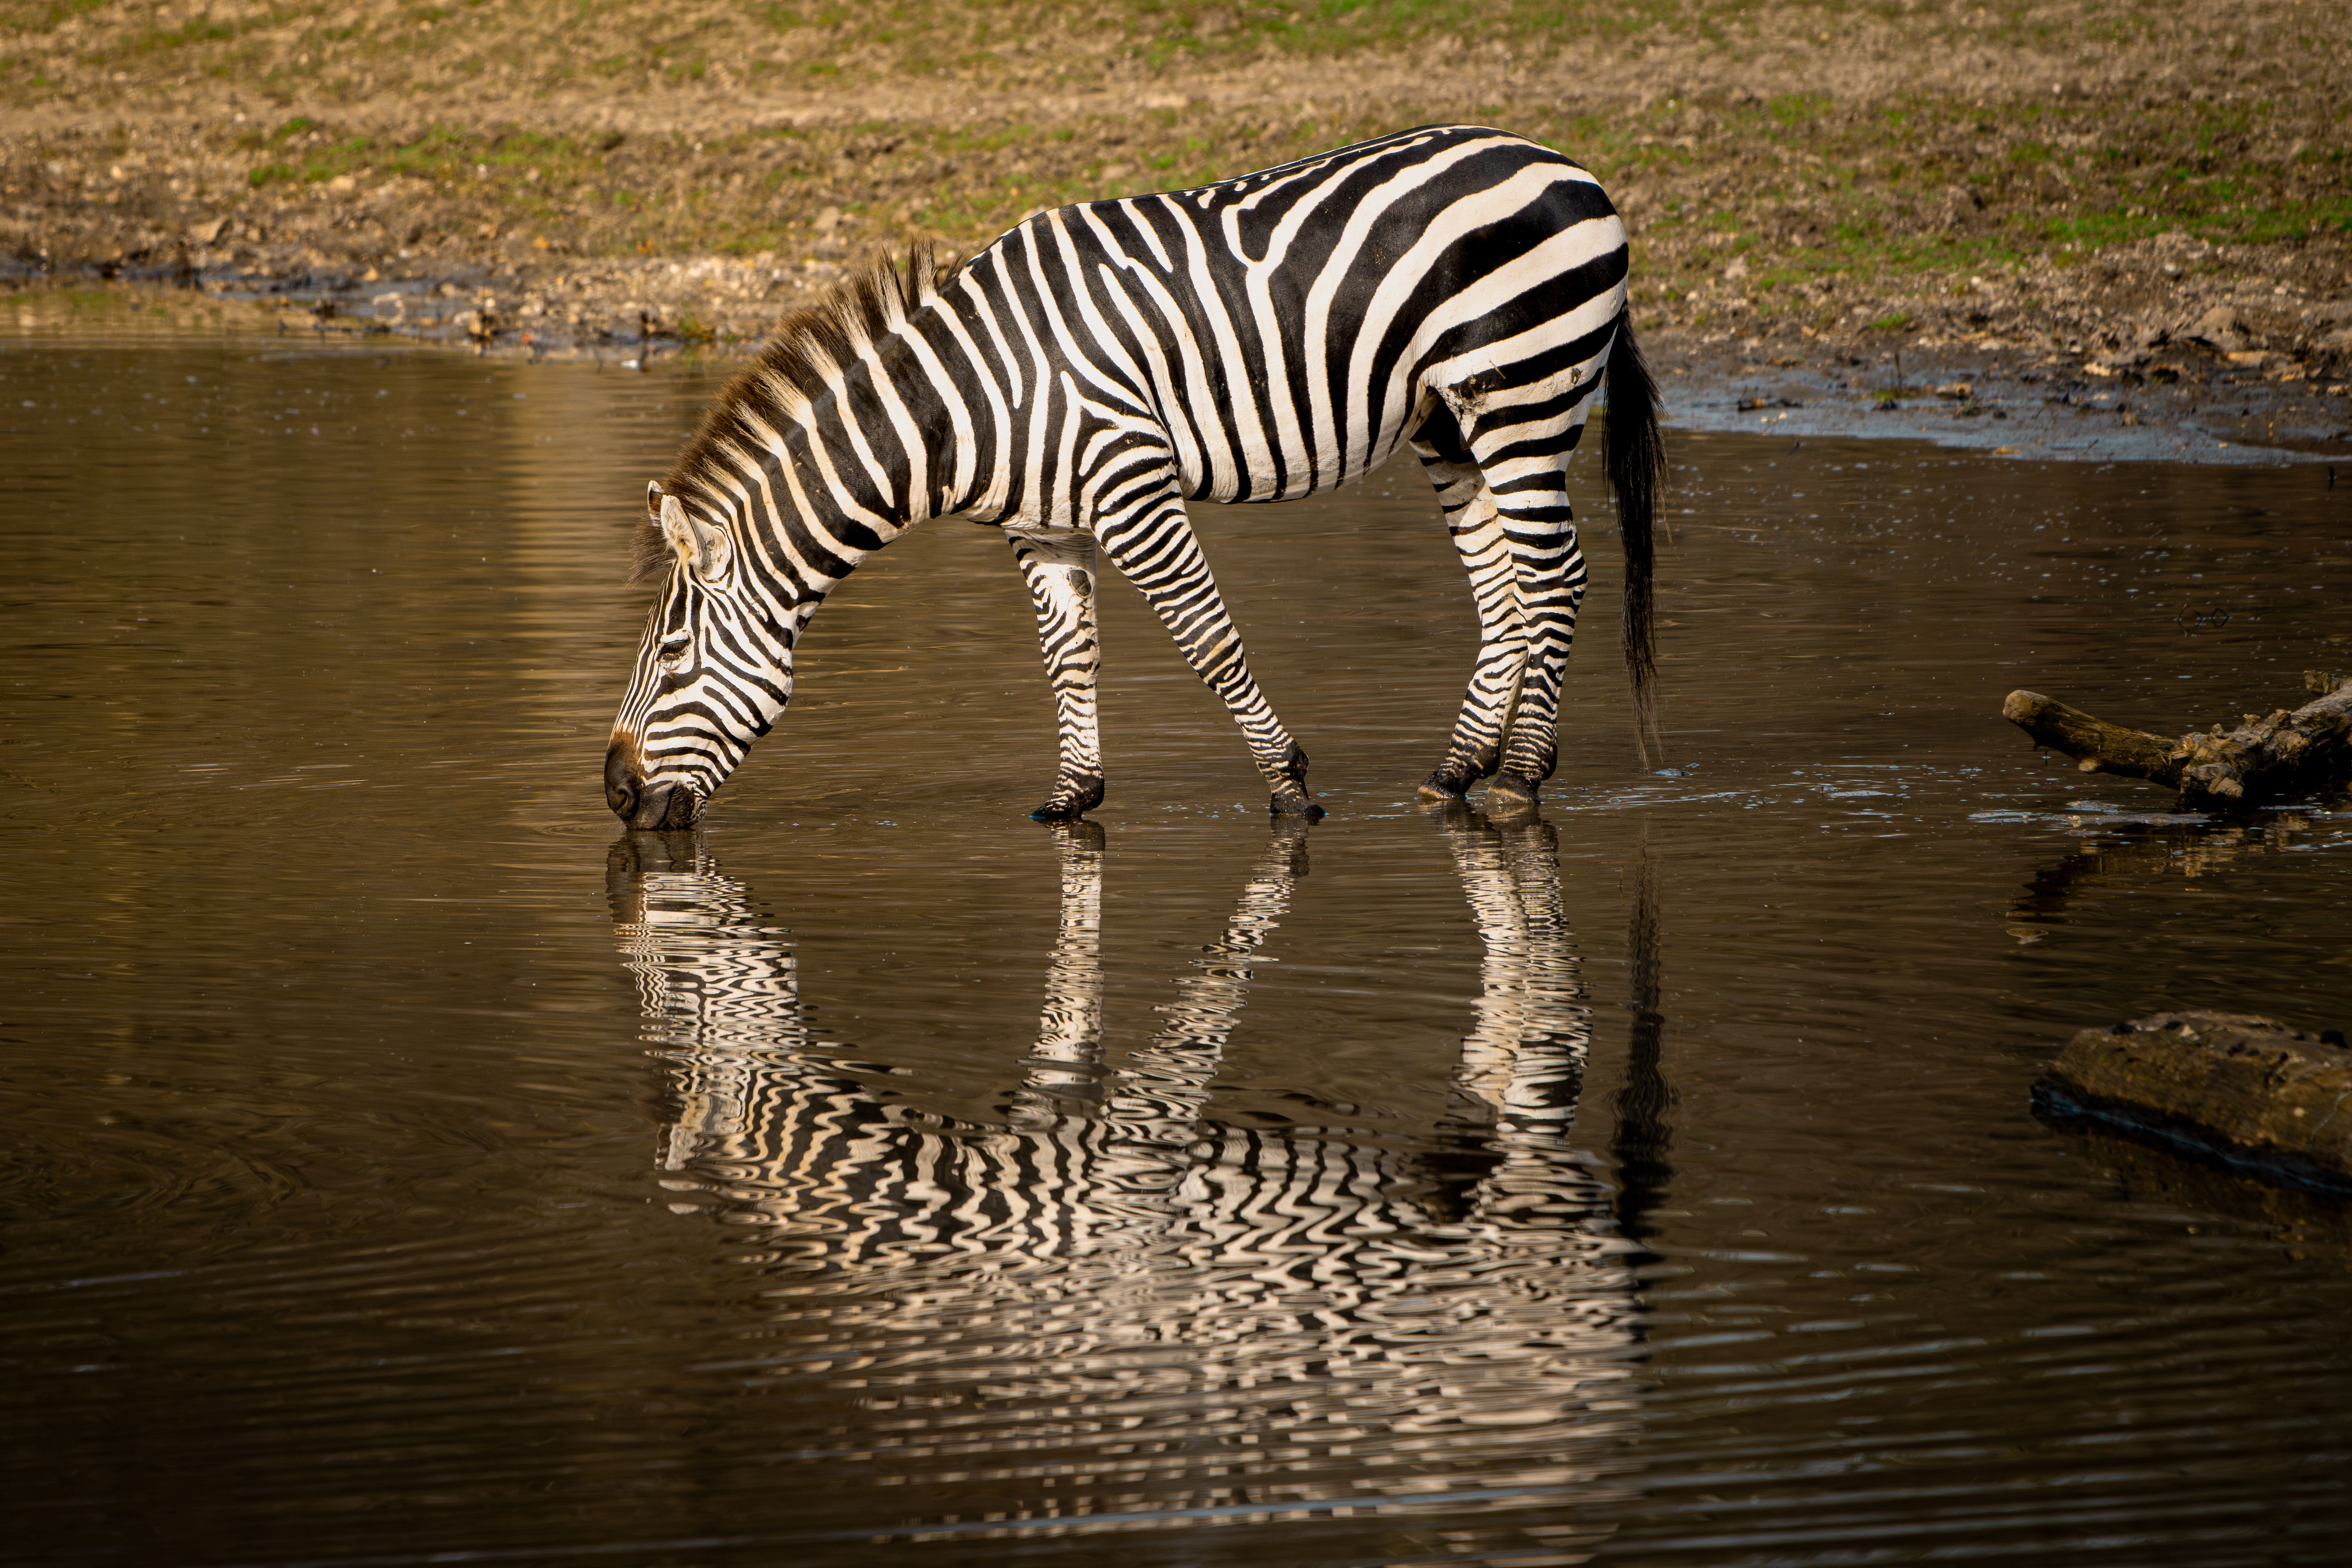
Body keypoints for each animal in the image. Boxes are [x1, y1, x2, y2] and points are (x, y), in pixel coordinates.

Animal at [605, 123, 1664, 830]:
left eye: (671, 658)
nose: (613, 795)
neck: (968, 402)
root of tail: (1559, 161)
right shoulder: (1043, 525)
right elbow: (1068, 658)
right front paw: (1072, 798)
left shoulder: (1132, 485)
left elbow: (1208, 640)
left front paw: (1288, 787)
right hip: (1448, 423)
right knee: (1504, 589)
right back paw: (1455, 773)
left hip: (1523, 389)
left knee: (1555, 577)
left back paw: (1519, 777)